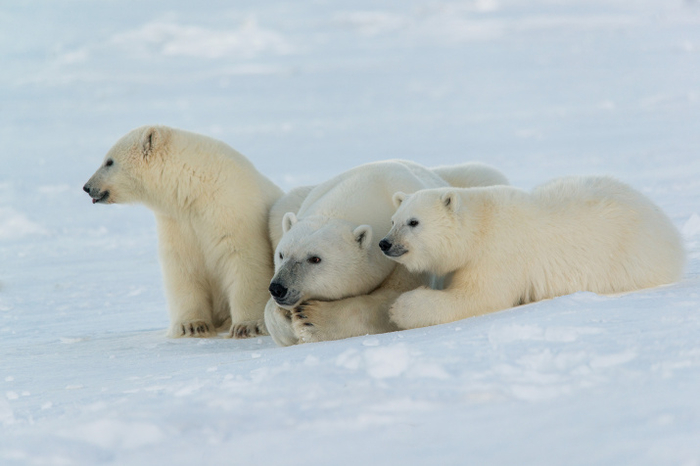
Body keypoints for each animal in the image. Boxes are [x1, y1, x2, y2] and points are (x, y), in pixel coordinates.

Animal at [85, 125, 284, 336]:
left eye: (109, 161)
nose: (87, 187)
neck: (195, 188)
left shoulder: (232, 211)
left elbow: (245, 260)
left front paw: (247, 326)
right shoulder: (178, 222)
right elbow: (182, 266)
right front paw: (192, 326)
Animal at [262, 160, 508, 346]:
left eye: (315, 259)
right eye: (281, 254)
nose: (278, 288)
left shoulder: (404, 256)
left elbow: (389, 302)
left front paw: (310, 318)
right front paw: (285, 319)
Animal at [380, 177, 688, 330]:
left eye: (413, 222)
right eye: (393, 220)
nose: (384, 243)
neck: (480, 225)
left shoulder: (497, 254)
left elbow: (478, 297)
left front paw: (399, 308)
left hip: (631, 257)